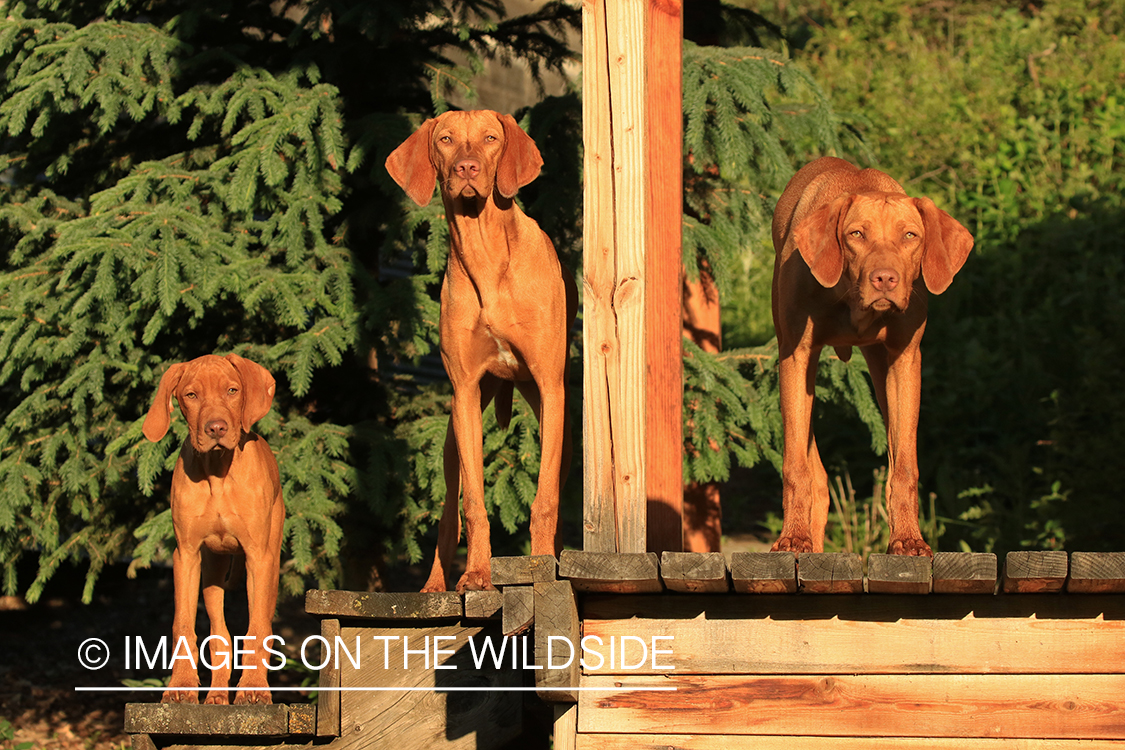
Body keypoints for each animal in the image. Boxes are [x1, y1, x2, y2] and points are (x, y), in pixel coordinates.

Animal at [141, 353, 285, 706]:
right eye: (191, 395)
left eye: (232, 390)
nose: (216, 427)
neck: (219, 472)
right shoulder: (186, 556)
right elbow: (182, 625)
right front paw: (180, 686)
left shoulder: (259, 557)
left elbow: (257, 628)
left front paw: (253, 689)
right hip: (212, 569)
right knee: (220, 634)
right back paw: (217, 693)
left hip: (270, 562)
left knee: (262, 621)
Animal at [389, 110, 580, 593]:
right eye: (445, 139)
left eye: (491, 138)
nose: (467, 168)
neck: (486, 253)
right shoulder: (465, 392)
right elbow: (473, 504)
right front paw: (477, 573)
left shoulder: (550, 387)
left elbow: (545, 500)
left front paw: (541, 566)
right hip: (453, 437)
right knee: (447, 516)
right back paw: (432, 587)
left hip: (562, 424)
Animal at [769, 157, 972, 557]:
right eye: (856, 235)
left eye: (910, 236)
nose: (885, 279)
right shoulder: (796, 357)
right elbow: (796, 465)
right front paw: (793, 537)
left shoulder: (904, 362)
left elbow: (904, 466)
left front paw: (908, 538)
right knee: (813, 469)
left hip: (879, 369)